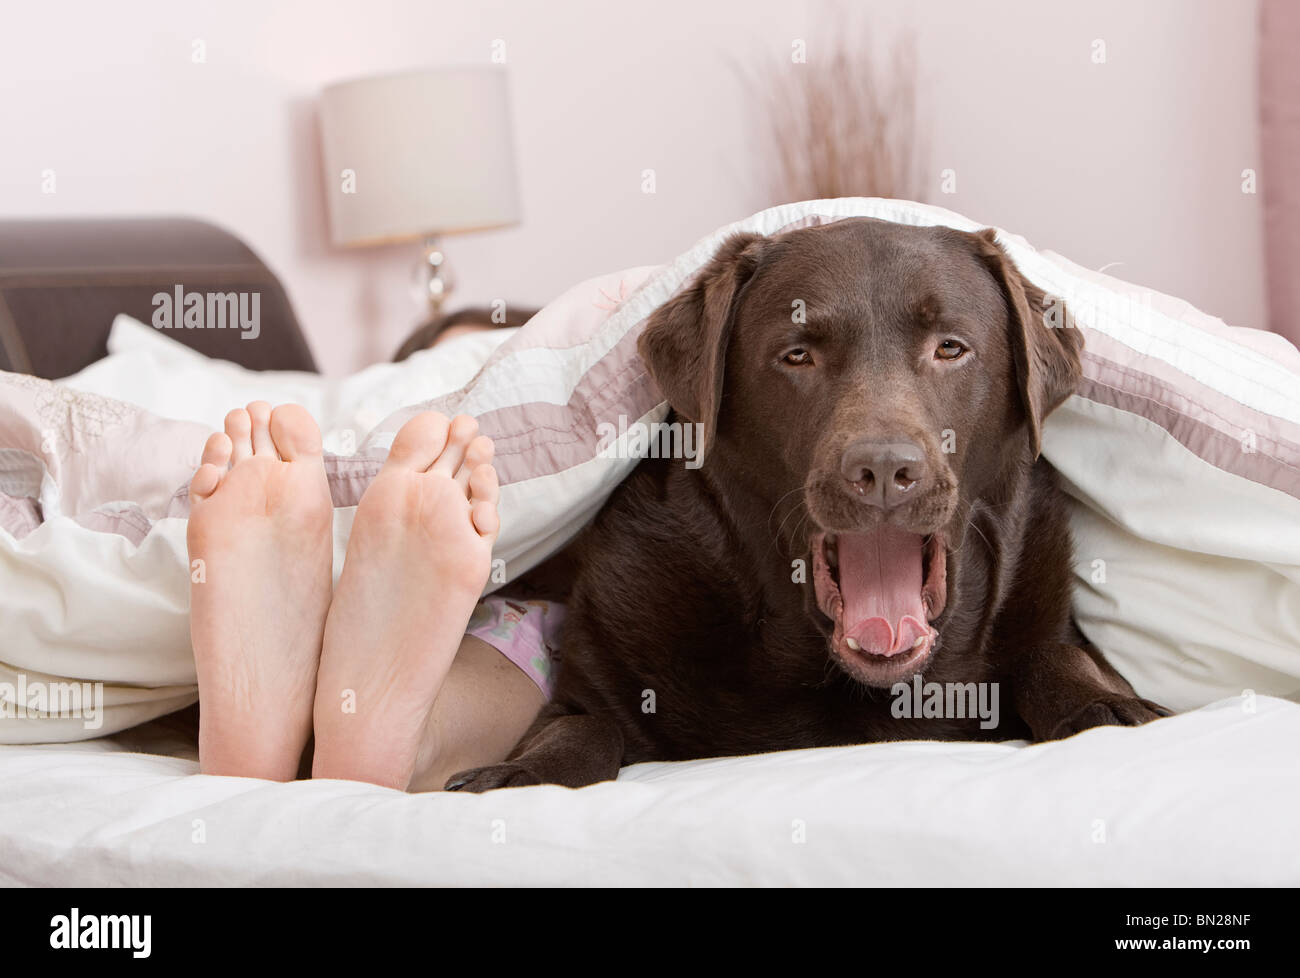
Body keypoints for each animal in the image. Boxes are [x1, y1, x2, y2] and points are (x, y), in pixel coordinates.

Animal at [447, 217, 1170, 790]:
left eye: (951, 348)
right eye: (797, 356)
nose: (885, 469)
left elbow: (1057, 659)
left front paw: (1107, 707)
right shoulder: (600, 662)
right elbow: (583, 725)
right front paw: (523, 771)